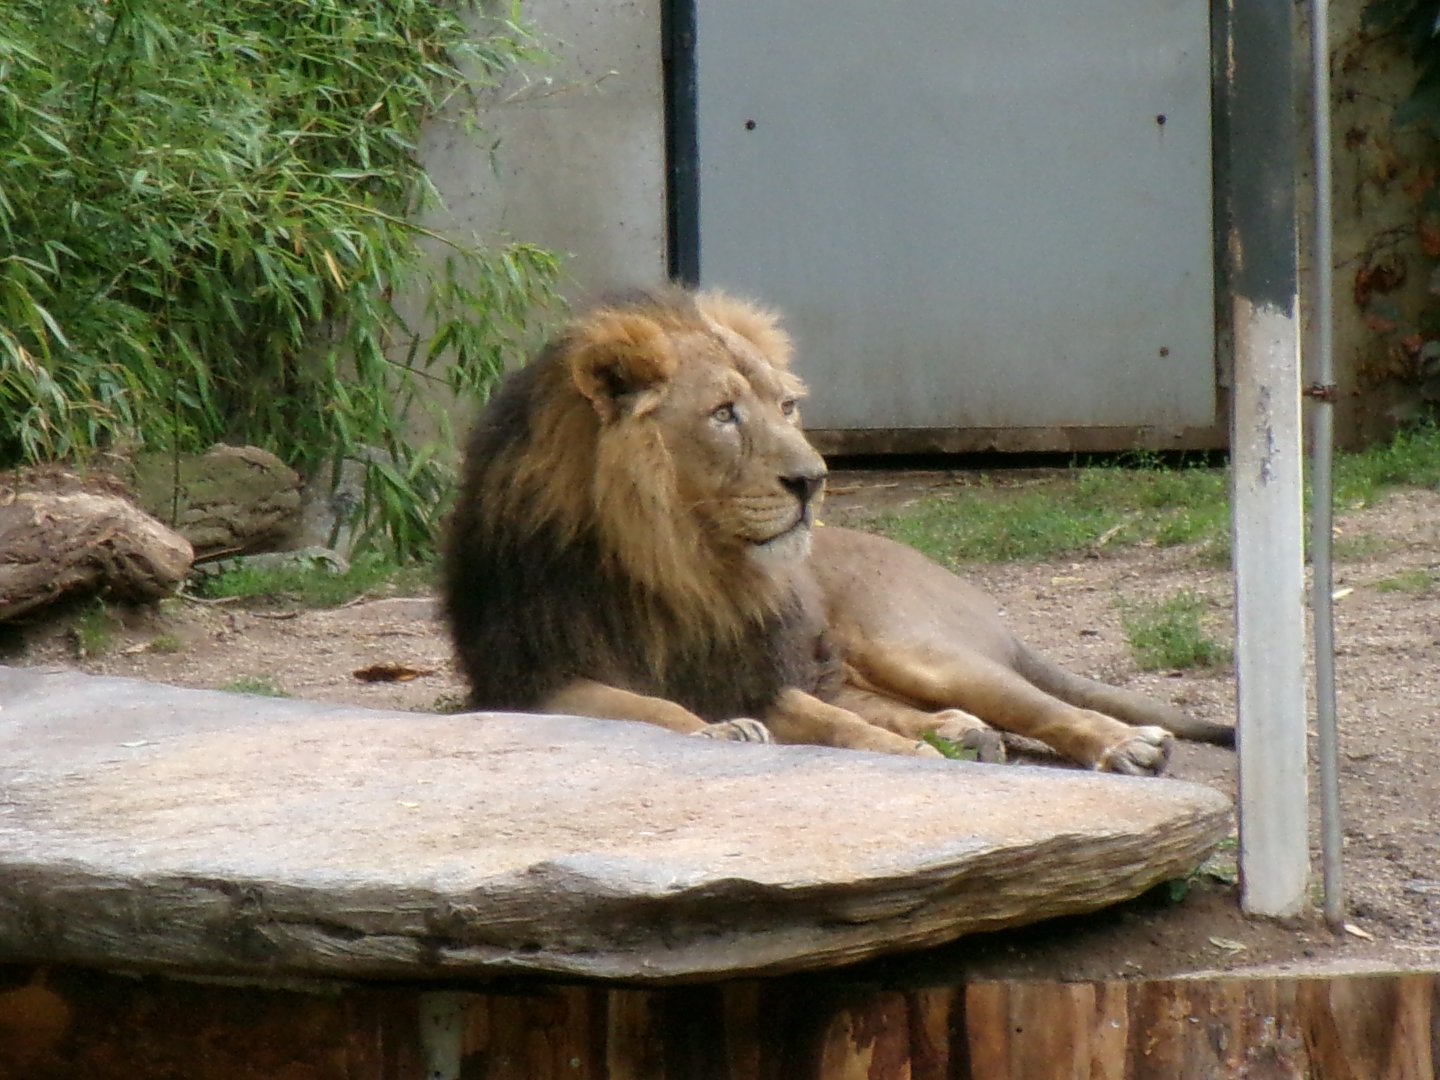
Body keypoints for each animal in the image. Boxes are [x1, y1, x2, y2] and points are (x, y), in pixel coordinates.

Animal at [442, 286, 1234, 774]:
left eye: (786, 406)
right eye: (724, 414)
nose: (812, 479)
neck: (679, 562)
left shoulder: (751, 670)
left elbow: (834, 725)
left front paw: (912, 760)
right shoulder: (529, 681)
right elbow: (645, 707)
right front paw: (719, 730)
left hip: (913, 644)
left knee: (1036, 704)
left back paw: (1125, 746)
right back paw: (959, 732)